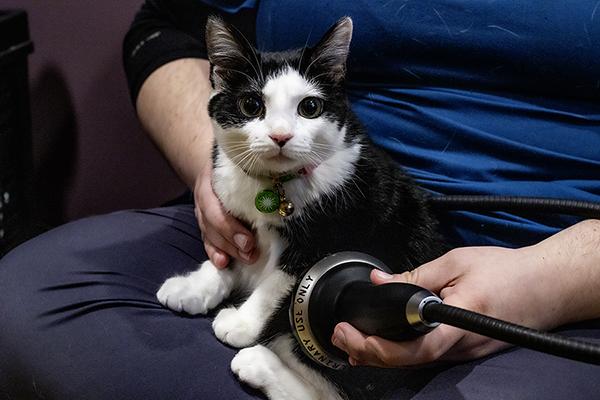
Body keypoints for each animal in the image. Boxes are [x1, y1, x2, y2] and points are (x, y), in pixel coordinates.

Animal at [158, 16, 446, 400]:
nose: (280, 136)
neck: (274, 185)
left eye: (309, 108)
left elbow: (276, 283)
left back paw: (258, 363)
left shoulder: (330, 236)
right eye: (251, 105)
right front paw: (196, 286)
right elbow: (229, 251)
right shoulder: (235, 215)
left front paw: (242, 322)